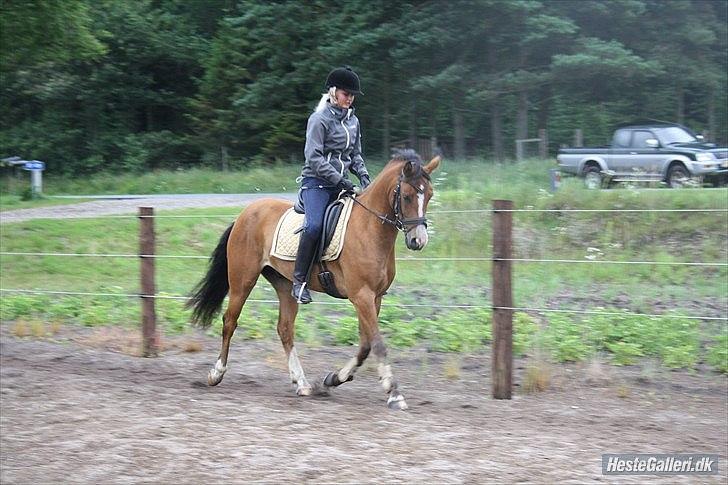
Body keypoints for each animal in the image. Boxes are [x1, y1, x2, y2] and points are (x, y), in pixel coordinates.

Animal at [185, 150, 440, 408]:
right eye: (407, 196)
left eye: (429, 195)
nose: (418, 241)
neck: (369, 228)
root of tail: (245, 214)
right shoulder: (362, 296)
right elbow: (377, 343)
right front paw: (394, 393)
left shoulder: (375, 297)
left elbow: (365, 344)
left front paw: (333, 379)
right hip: (242, 280)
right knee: (230, 321)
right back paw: (216, 373)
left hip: (285, 284)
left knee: (285, 328)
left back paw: (302, 383)